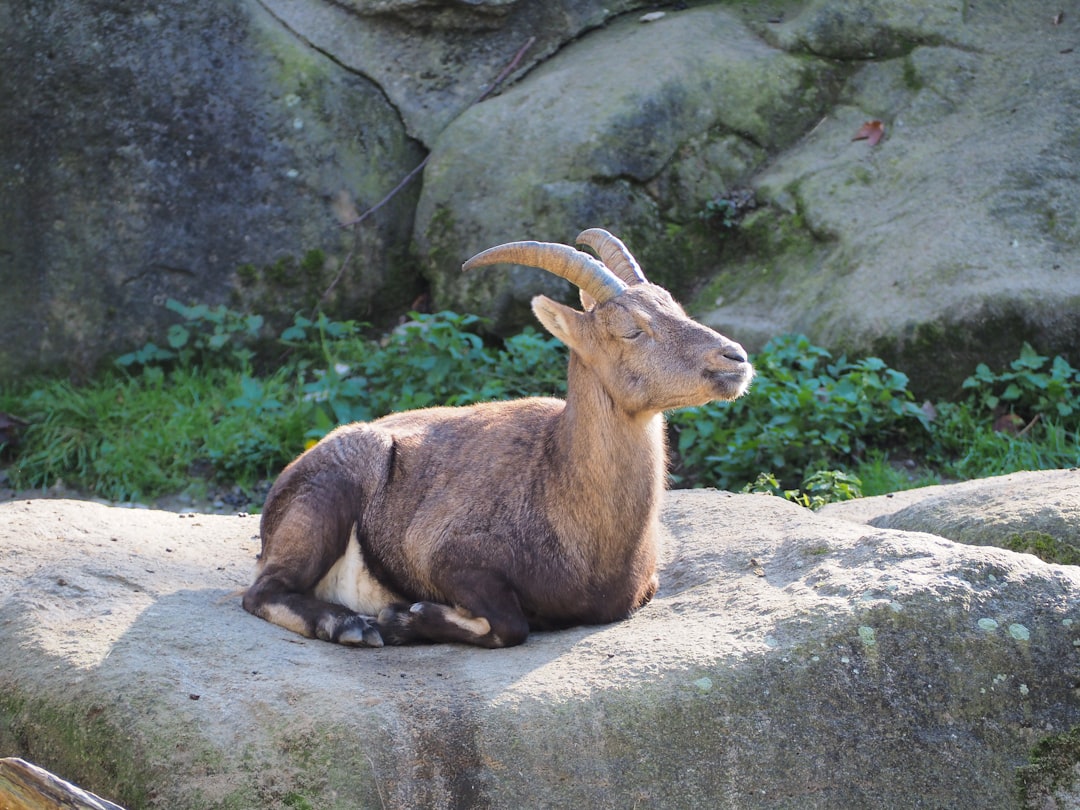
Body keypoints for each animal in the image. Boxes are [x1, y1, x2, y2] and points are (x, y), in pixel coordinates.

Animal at [242, 228, 753, 648]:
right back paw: (350, 625)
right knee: (261, 593)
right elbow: (510, 625)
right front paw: (403, 617)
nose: (735, 358)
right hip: (329, 496)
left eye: (674, 307)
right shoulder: (444, 554)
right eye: (631, 330)